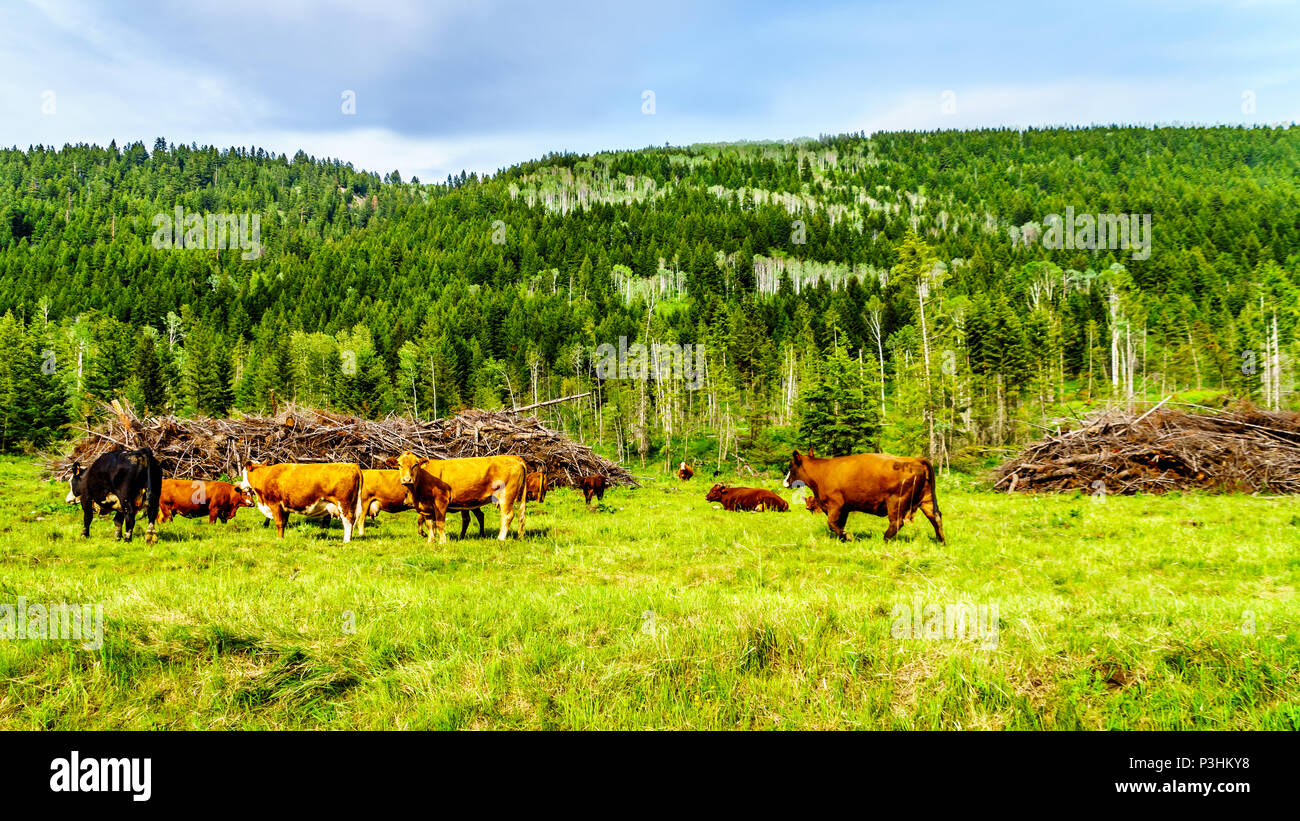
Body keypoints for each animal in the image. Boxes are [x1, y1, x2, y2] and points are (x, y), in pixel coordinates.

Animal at [392, 452, 525, 543]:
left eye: (415, 465)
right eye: (399, 465)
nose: (407, 480)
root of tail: (513, 457)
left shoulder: (441, 501)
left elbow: (439, 523)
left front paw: (442, 541)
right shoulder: (426, 508)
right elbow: (430, 524)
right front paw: (430, 541)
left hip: (506, 495)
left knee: (507, 516)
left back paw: (500, 538)